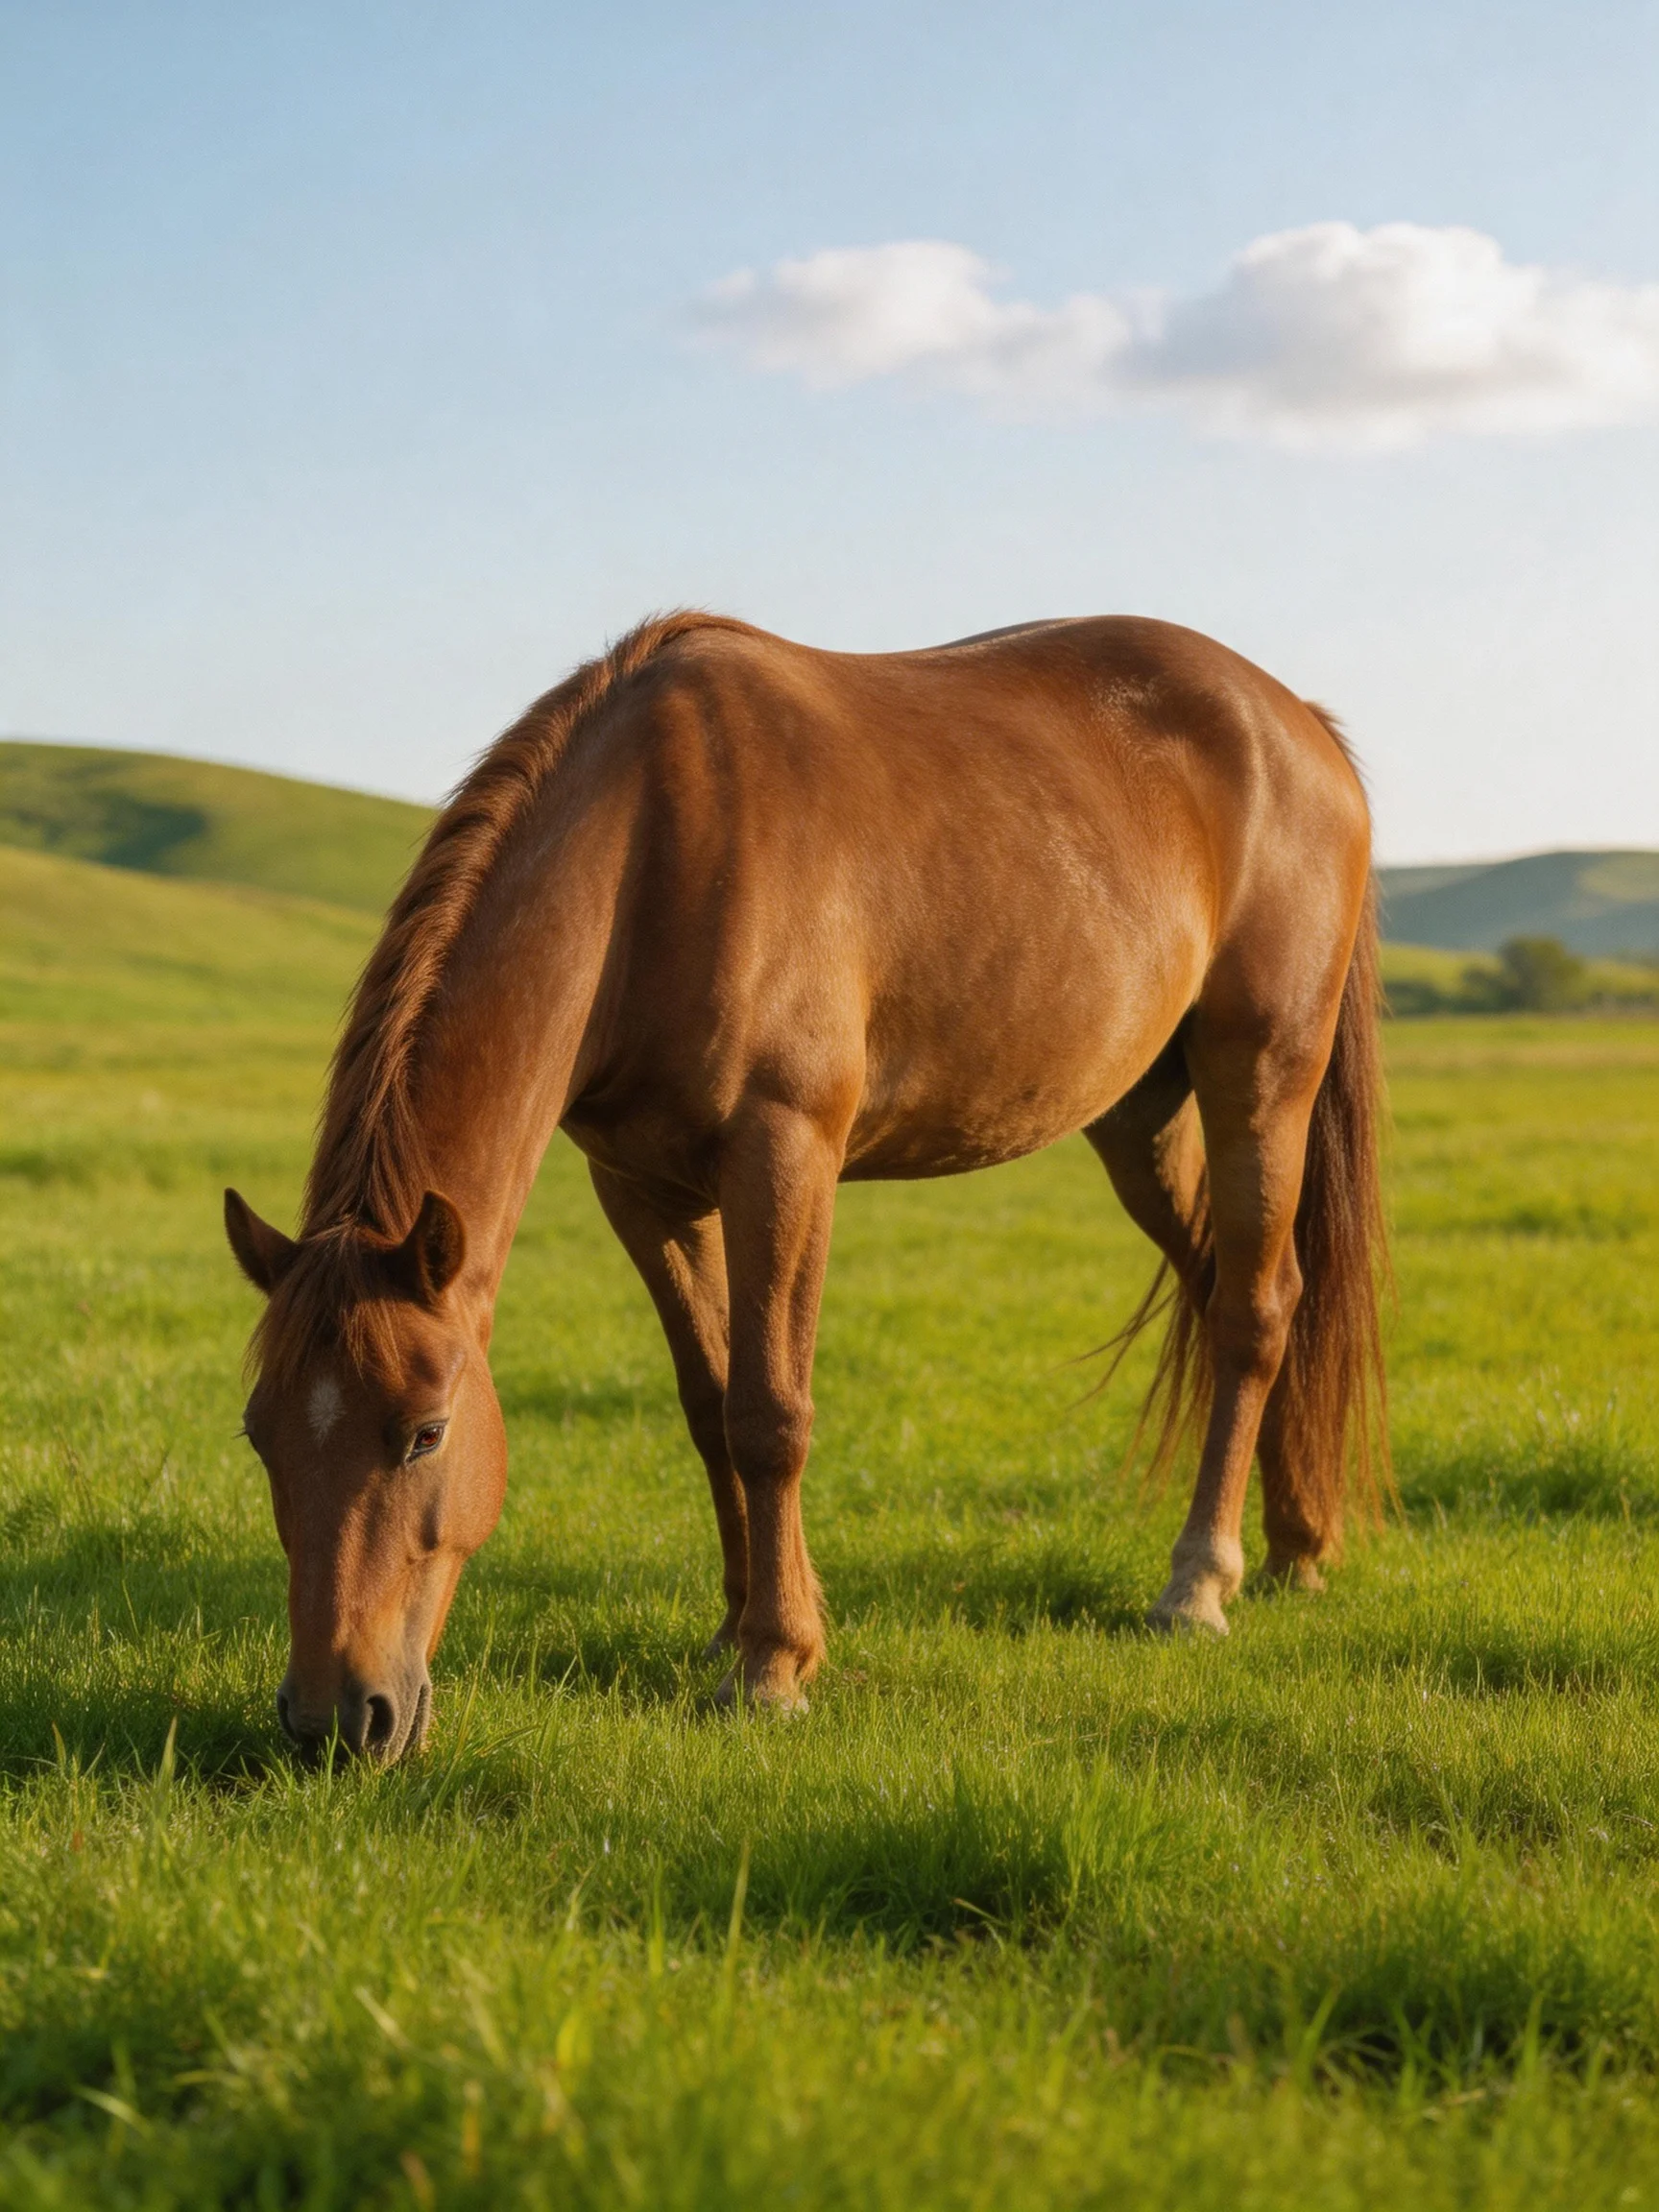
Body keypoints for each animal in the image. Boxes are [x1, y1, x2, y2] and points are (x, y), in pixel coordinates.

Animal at [226, 611, 1388, 1762]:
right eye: (258, 1432)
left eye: (426, 1432)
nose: (335, 1721)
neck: (653, 851)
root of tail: (1301, 727)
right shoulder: (639, 1190)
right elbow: (710, 1406)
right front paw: (736, 1626)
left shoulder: (782, 1156)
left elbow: (769, 1415)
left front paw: (772, 1666)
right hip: (1138, 1119)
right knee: (1229, 1289)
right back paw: (1295, 1542)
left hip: (1260, 1080)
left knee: (1254, 1312)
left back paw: (1200, 1585)